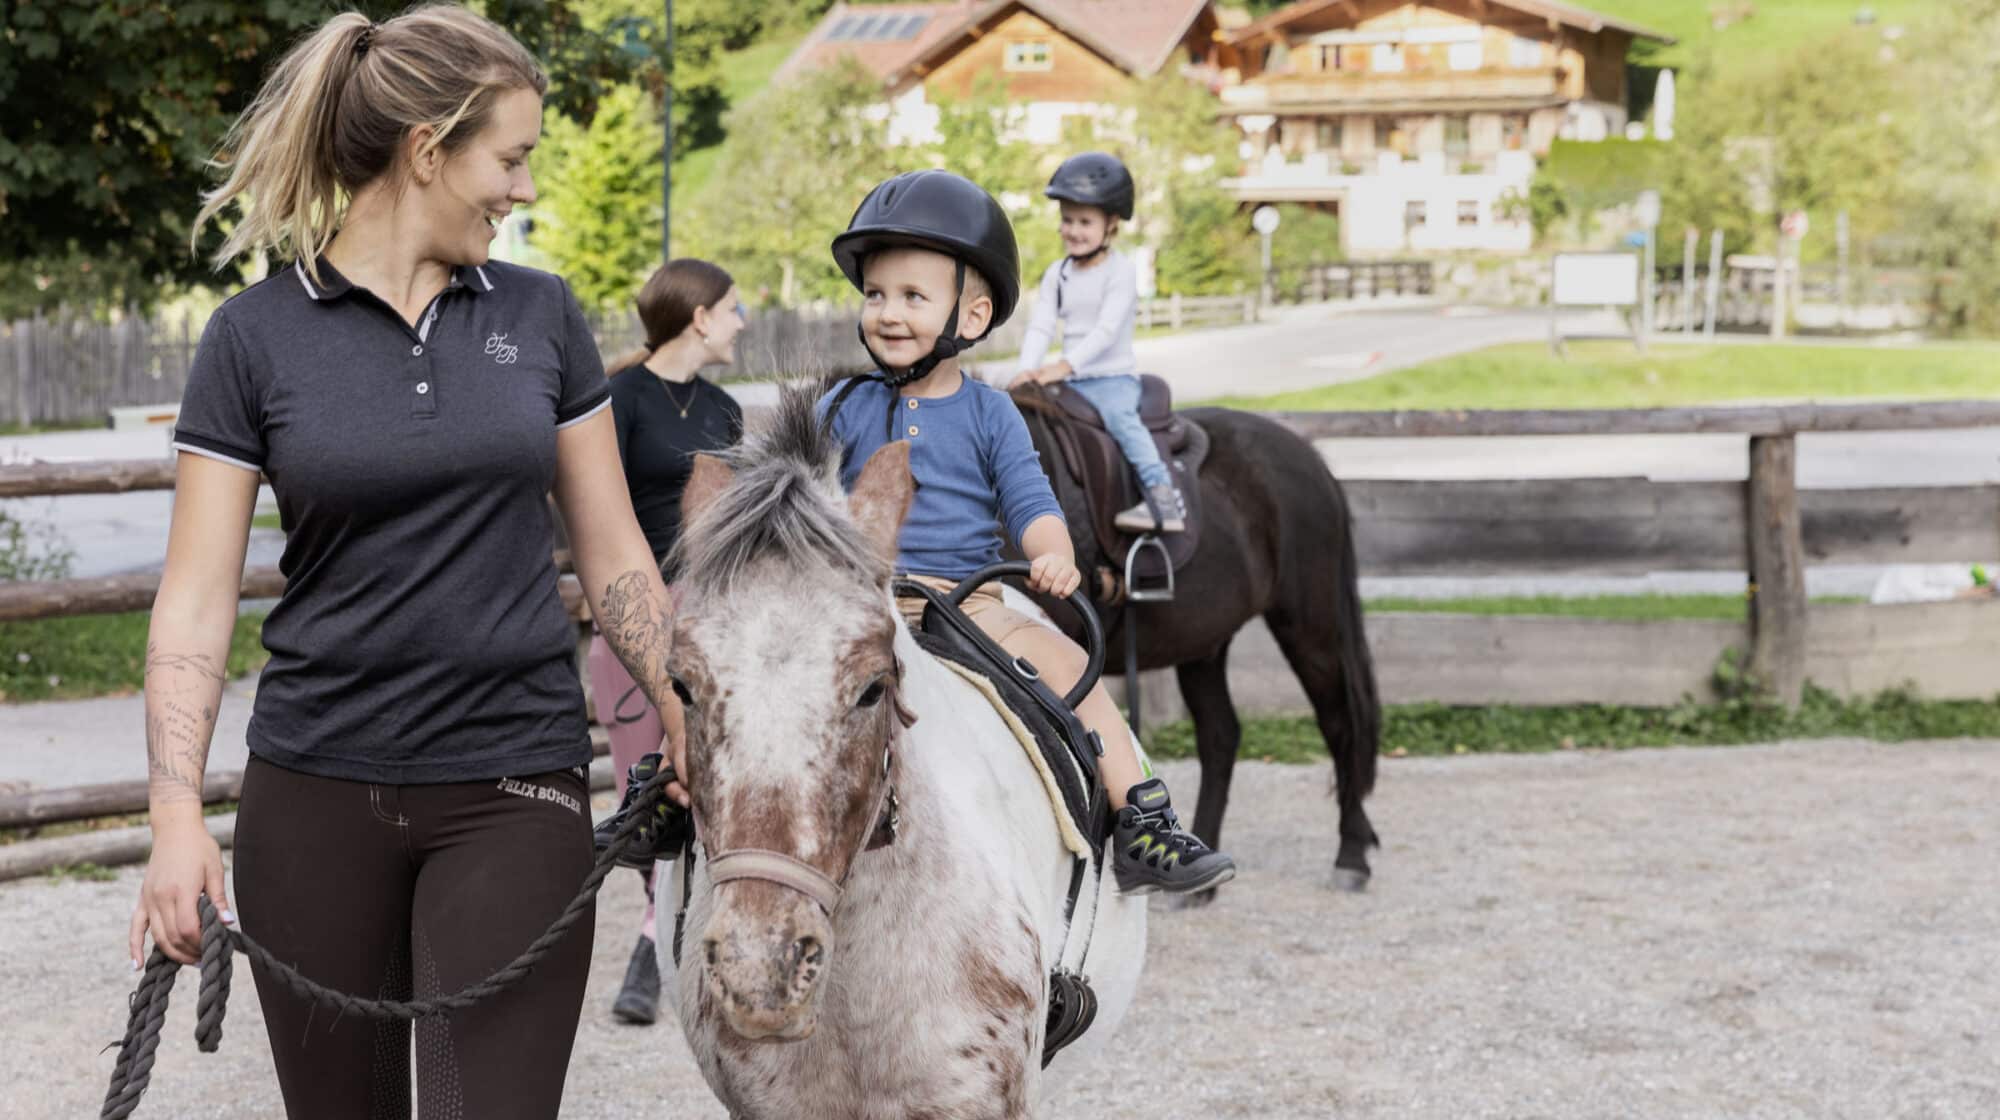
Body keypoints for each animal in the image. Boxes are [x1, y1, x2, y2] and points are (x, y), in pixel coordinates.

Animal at [1016, 390, 1376, 896]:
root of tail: (1310, 458)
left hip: (1310, 628)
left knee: (1340, 724)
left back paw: (1351, 856)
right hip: (1204, 645)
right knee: (1221, 736)